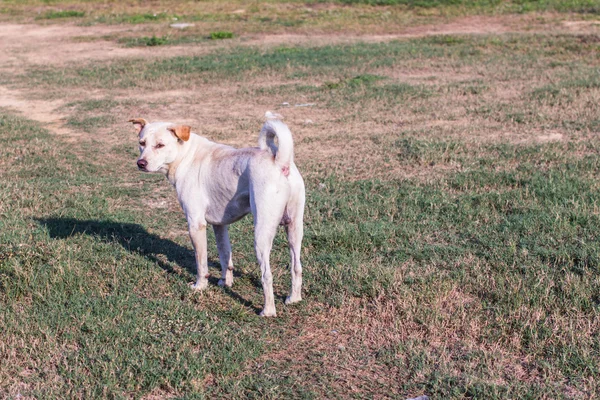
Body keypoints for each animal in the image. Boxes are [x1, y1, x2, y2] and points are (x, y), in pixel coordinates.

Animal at [130, 112, 304, 316]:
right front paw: (224, 282)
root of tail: (280, 162)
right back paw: (293, 299)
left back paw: (267, 311)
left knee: (267, 275)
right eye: (142, 143)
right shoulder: (220, 225)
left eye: (160, 145)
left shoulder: (196, 224)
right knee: (296, 267)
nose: (141, 163)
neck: (186, 155)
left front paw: (200, 286)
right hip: (294, 229)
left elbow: (201, 262)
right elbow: (225, 255)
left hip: (261, 234)